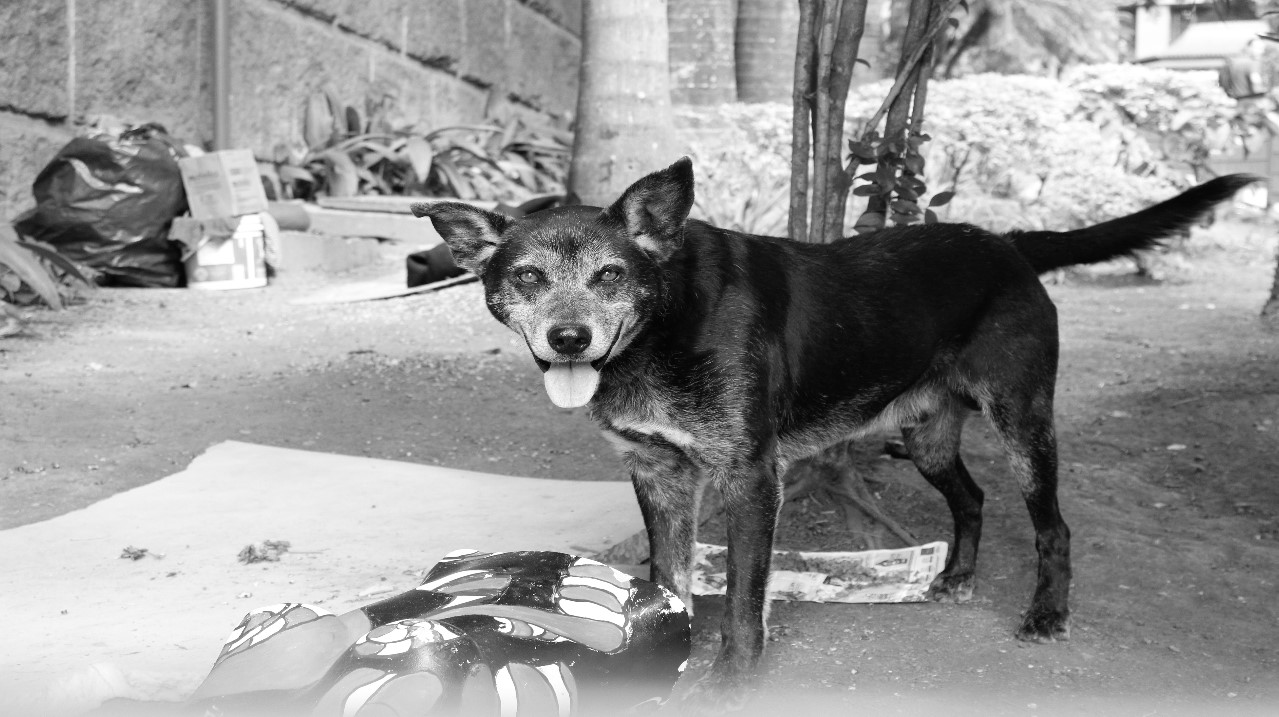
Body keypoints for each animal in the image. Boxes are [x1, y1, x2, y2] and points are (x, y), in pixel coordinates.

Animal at [414, 162, 1253, 710]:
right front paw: (663, 657)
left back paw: (1046, 613)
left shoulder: (751, 477)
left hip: (1021, 423)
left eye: (611, 275)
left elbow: (743, 599)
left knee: (1052, 524)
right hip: (926, 437)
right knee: (970, 497)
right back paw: (954, 576)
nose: (569, 338)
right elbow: (671, 580)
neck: (665, 327)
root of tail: (1008, 242)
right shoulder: (658, 475)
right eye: (524, 276)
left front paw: (730, 677)